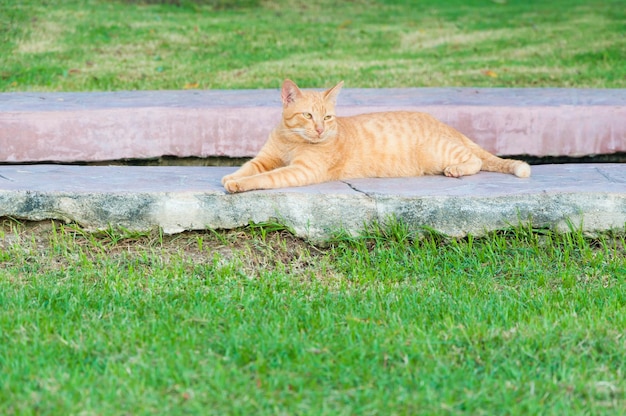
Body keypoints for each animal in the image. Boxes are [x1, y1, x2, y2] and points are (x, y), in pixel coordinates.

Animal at [222, 79, 528, 193]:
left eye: (328, 117)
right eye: (308, 116)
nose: (320, 129)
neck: (291, 139)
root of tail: (442, 123)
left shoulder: (301, 170)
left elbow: (266, 178)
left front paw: (238, 184)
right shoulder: (265, 158)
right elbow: (248, 168)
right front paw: (231, 177)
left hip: (441, 152)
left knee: (475, 160)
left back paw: (456, 169)